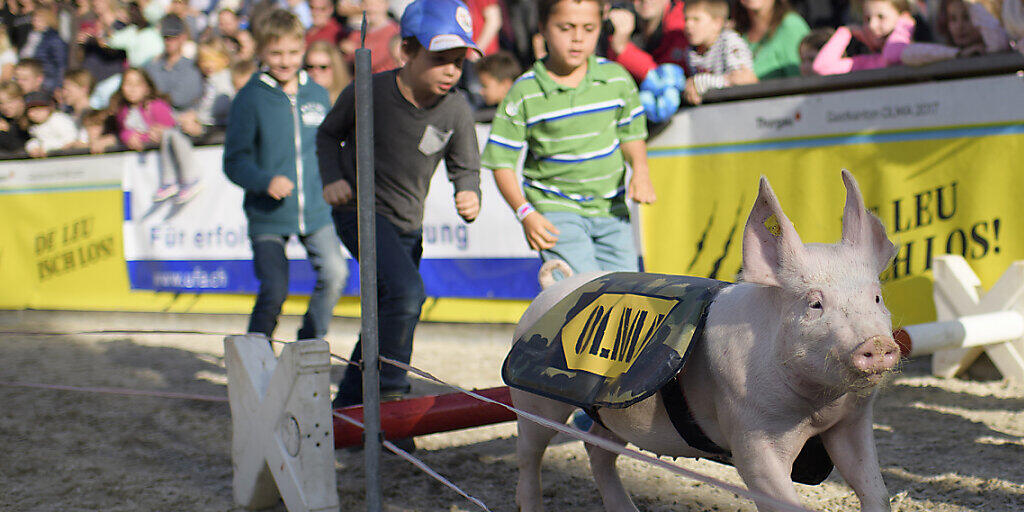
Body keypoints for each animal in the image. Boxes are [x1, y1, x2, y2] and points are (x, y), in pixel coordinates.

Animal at [509, 171, 897, 512]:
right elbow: (777, 494)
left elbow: (875, 490)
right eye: (814, 303)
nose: (878, 343)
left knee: (599, 452)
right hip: (534, 401)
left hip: (611, 413)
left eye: (877, 298)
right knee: (529, 453)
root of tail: (551, 289)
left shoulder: (852, 421)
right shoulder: (750, 428)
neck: (818, 405)